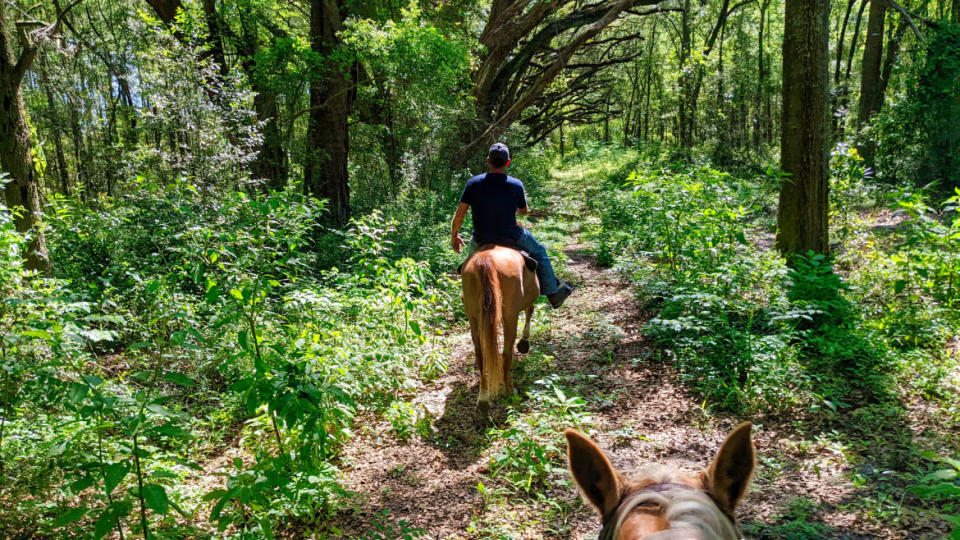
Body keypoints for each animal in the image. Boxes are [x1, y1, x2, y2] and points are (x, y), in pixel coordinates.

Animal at [464, 245, 540, 414]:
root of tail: (485, 260)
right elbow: (530, 310)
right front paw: (524, 342)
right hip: (510, 316)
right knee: (506, 354)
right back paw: (510, 391)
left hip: (474, 319)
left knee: (480, 356)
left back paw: (483, 398)